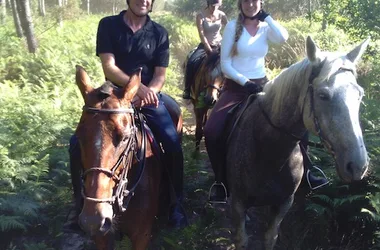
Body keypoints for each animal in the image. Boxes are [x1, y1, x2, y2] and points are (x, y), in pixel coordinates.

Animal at [224, 36, 370, 249]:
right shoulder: (237, 204)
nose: (357, 166)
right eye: (323, 95)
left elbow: (270, 237)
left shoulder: (283, 203)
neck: (269, 153)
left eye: (359, 95)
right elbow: (242, 239)